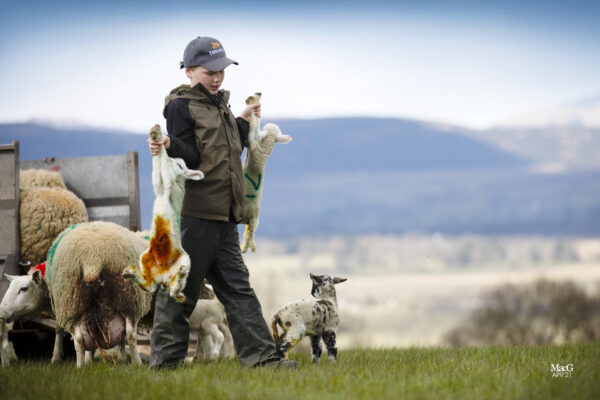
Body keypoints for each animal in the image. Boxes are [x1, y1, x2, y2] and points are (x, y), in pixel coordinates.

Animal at [123, 123, 204, 302]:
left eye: (180, 166)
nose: (173, 162)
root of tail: (163, 277)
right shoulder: (159, 185)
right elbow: (157, 167)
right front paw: (155, 135)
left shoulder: (167, 183)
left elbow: (163, 168)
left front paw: (158, 136)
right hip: (145, 258)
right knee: (149, 285)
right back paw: (129, 273)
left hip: (185, 260)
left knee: (174, 290)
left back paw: (180, 281)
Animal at [239, 93, 290, 253]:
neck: (266, 145)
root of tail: (251, 218)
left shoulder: (252, 142)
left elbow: (253, 126)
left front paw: (252, 104)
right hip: (251, 221)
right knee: (249, 233)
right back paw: (246, 247)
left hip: (251, 217)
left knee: (250, 234)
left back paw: (246, 248)